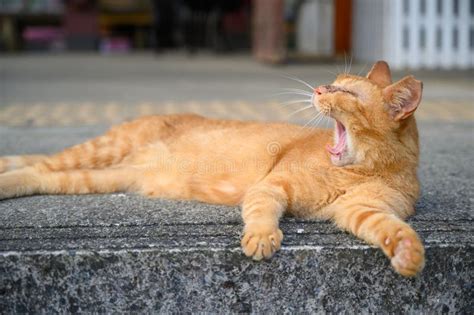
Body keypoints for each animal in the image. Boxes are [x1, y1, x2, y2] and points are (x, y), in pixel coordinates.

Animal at [0, 61, 424, 276]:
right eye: (332, 83)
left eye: (347, 92)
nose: (318, 90)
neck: (354, 170)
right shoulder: (271, 187)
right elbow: (261, 213)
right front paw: (262, 237)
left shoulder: (363, 209)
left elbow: (388, 228)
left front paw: (408, 254)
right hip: (101, 152)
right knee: (39, 163)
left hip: (101, 177)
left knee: (40, 175)